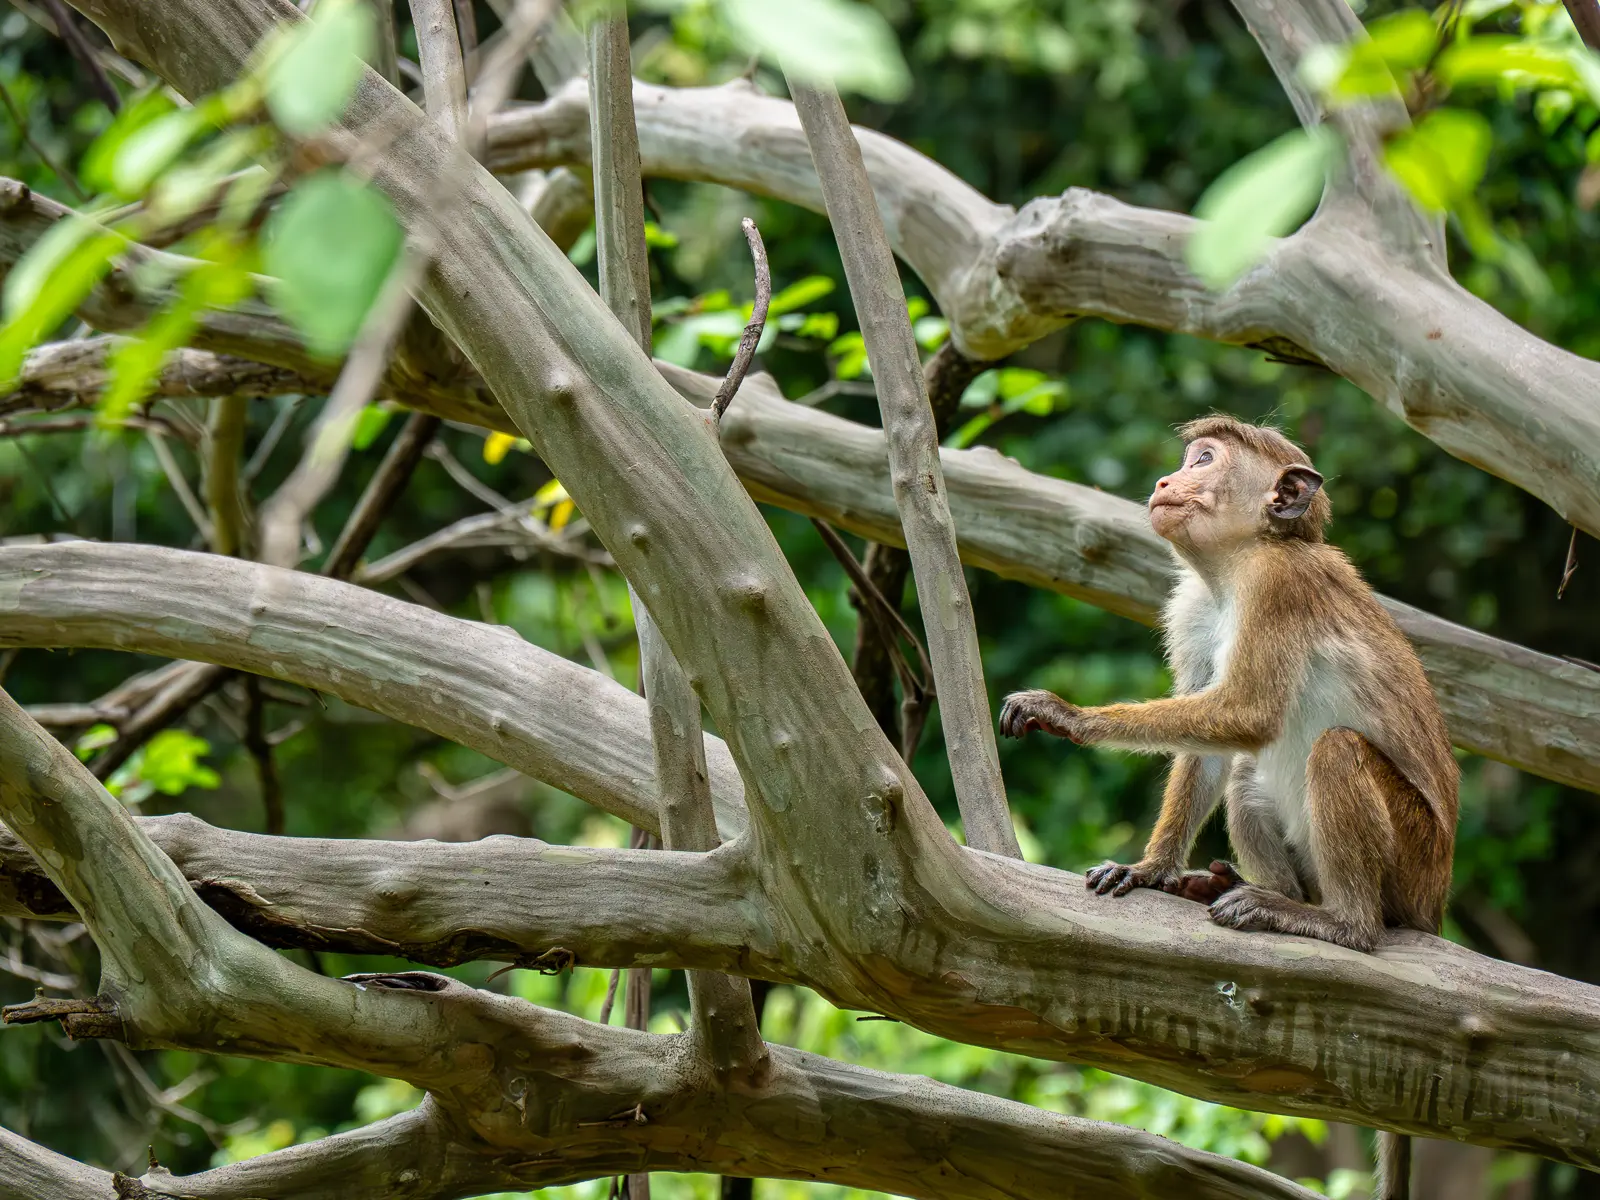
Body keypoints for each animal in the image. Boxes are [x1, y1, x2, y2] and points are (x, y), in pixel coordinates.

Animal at [998, 415, 1458, 1200]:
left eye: (1204, 461)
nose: (1164, 480)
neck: (1234, 567)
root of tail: (1435, 904)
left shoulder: (1279, 588)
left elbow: (1242, 714)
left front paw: (1070, 715)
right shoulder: (1192, 607)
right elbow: (1214, 747)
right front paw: (1151, 869)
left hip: (1416, 863)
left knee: (1334, 751)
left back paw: (1337, 922)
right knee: (1246, 774)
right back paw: (1250, 889)